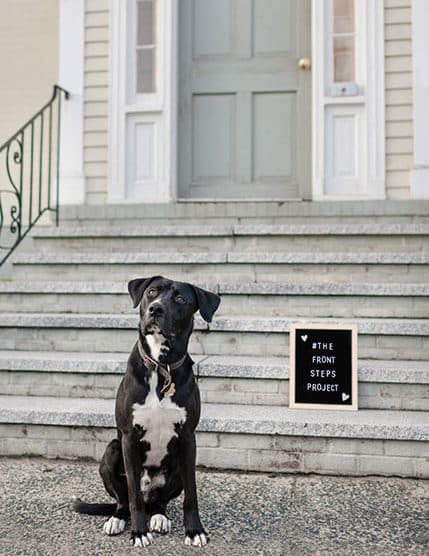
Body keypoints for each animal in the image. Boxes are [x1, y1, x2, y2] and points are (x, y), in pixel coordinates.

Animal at [73, 274, 219, 548]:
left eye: (180, 299)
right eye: (152, 292)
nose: (156, 309)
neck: (161, 366)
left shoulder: (188, 439)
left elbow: (191, 494)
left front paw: (195, 530)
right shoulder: (129, 437)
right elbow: (133, 496)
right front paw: (139, 533)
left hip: (176, 466)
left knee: (160, 502)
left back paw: (159, 517)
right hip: (112, 450)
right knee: (125, 500)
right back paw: (118, 519)